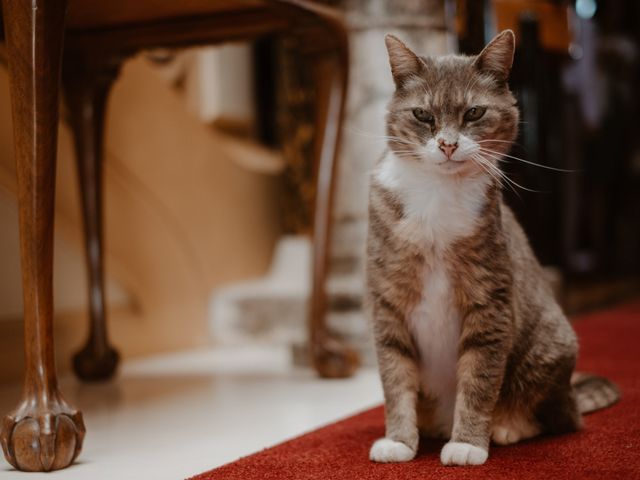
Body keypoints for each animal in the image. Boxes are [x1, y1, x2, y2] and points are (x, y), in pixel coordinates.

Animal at [364, 30, 620, 464]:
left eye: (473, 113)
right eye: (423, 116)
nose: (448, 145)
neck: (437, 194)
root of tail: (571, 393)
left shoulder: (490, 303)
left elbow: (479, 379)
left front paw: (467, 442)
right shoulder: (388, 305)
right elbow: (395, 377)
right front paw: (399, 440)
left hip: (551, 346)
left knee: (556, 418)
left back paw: (507, 425)